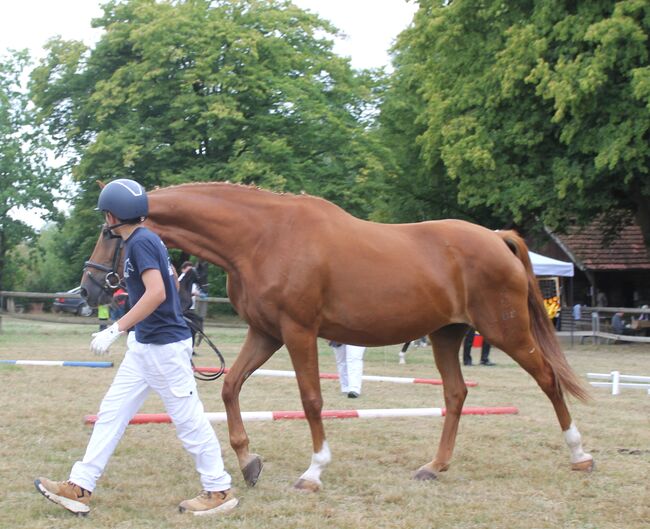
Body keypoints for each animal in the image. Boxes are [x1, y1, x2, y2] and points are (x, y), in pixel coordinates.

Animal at [81, 182, 594, 492]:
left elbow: (311, 399)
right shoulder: (266, 333)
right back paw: (435, 466)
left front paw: (313, 470)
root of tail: (496, 237)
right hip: (447, 336)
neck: (263, 237)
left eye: (108, 233)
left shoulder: (298, 332)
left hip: (506, 331)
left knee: (548, 380)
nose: (88, 288)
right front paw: (248, 461)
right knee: (456, 394)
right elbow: (230, 388)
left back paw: (580, 454)